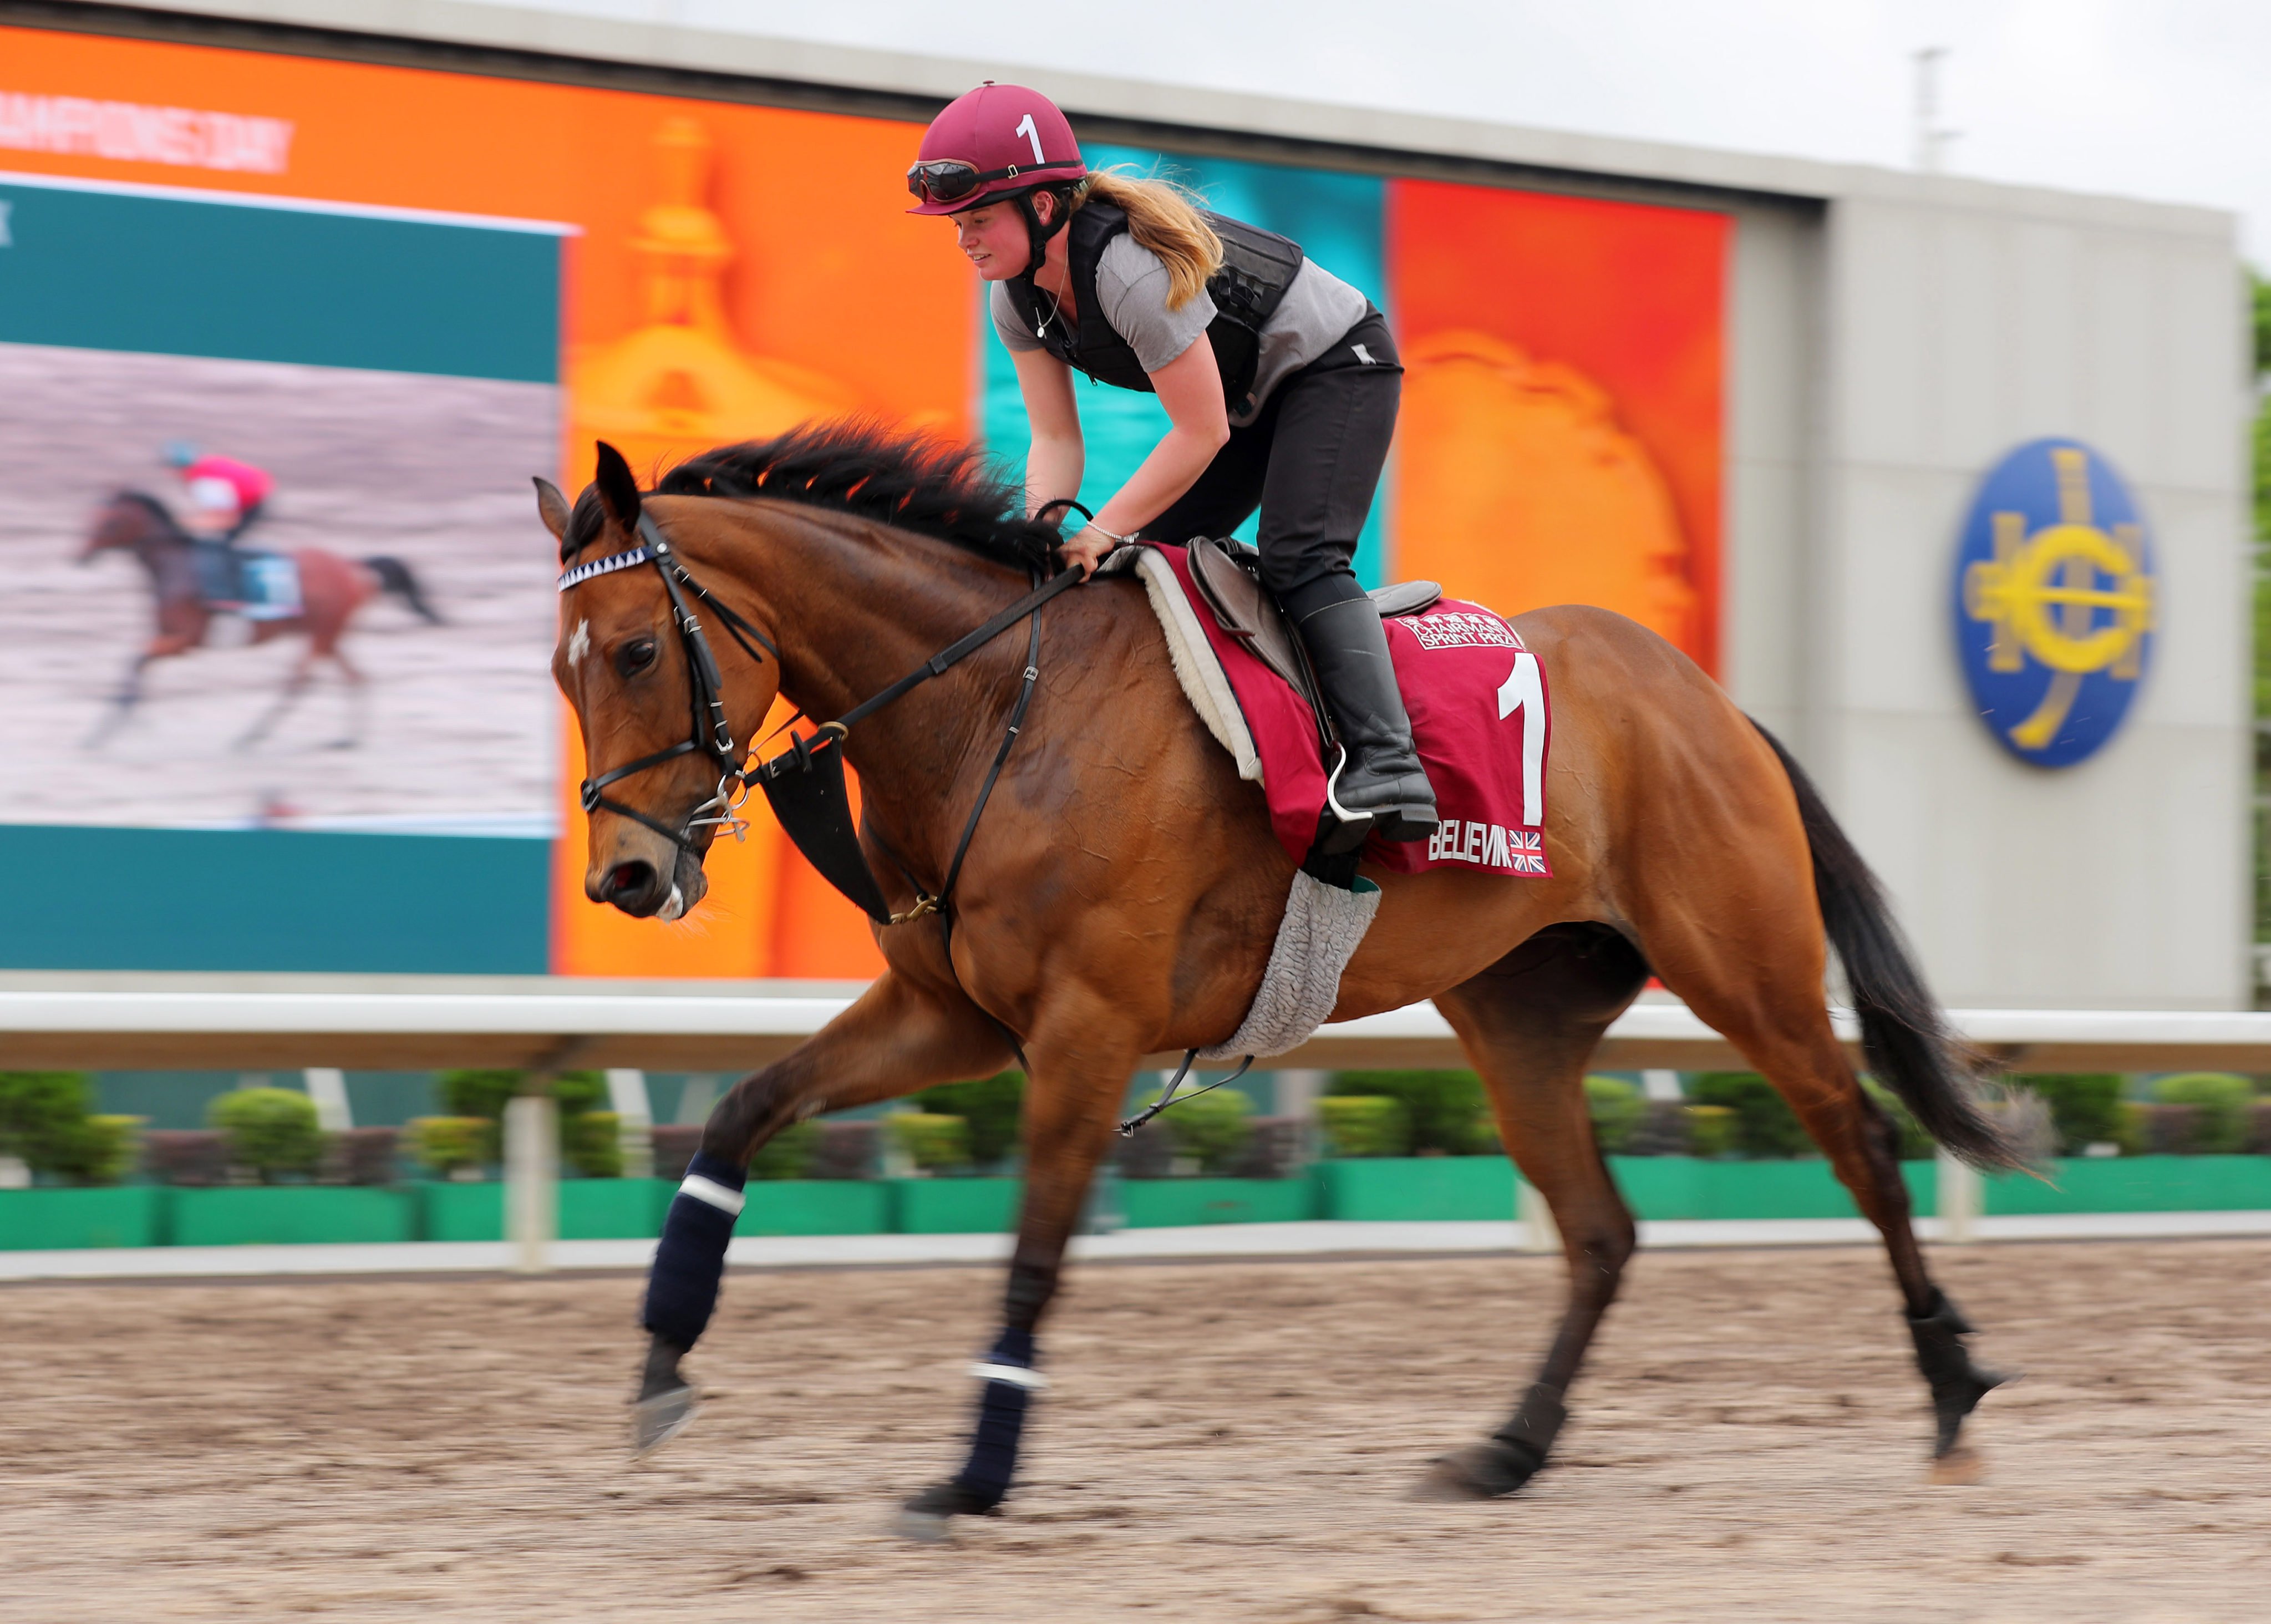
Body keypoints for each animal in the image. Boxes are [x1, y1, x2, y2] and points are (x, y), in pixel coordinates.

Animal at [78, 493, 440, 754]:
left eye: (110, 522)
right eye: (90, 517)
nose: (79, 555)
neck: (176, 567)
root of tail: (354, 566)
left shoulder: (187, 640)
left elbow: (136, 659)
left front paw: (110, 729)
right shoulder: (169, 636)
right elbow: (137, 665)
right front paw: (124, 722)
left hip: (322, 633)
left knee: (300, 682)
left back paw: (250, 737)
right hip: (329, 634)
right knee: (356, 677)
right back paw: (347, 739)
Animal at [545, 420, 2025, 1535]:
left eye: (636, 649)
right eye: (560, 671)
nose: (626, 876)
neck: (998, 708)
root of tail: (1711, 701)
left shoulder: (1088, 1028)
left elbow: (1034, 1254)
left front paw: (972, 1477)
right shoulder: (949, 1015)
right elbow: (741, 1113)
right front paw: (662, 1358)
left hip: (1743, 966)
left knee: (1863, 1149)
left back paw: (1954, 1390)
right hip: (1520, 1017)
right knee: (1602, 1230)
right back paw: (1509, 1449)